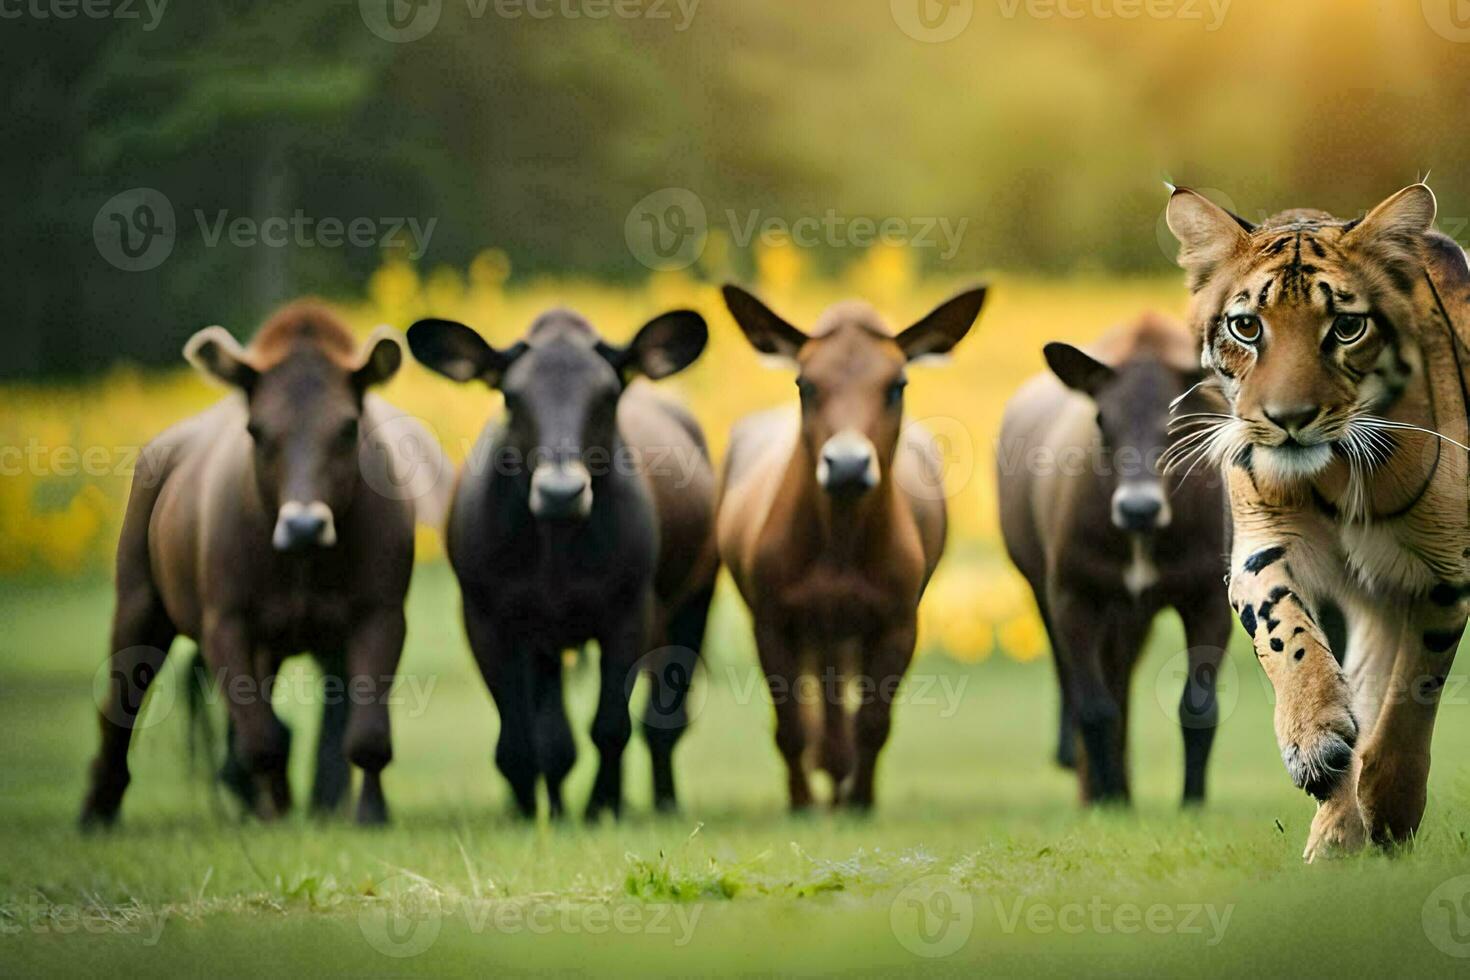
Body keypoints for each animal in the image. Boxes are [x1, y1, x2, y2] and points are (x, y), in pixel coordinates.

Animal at [79, 301, 446, 828]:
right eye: (256, 430)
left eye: (348, 428)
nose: (304, 524)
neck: (302, 563)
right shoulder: (224, 622)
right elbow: (261, 738)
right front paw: (276, 815)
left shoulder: (380, 614)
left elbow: (366, 733)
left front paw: (370, 813)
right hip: (138, 598)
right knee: (121, 701)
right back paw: (98, 810)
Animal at [714, 283, 981, 811]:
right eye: (805, 384)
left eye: (897, 385)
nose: (848, 466)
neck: (838, 544)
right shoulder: (771, 617)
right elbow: (791, 726)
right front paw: (801, 803)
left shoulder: (899, 619)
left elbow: (874, 722)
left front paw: (860, 801)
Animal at [993, 314, 1234, 805]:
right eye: (1103, 418)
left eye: (1179, 420)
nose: (1138, 507)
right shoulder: (1075, 594)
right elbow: (1094, 706)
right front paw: (1106, 800)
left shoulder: (1210, 598)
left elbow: (1198, 707)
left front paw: (1192, 802)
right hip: (1043, 586)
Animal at [1158, 182, 1470, 858]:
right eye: (1246, 327)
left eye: (1347, 327)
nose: (1289, 419)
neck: (1336, 473)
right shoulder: (1262, 543)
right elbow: (1286, 632)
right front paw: (1316, 743)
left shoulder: (1445, 571)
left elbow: (1413, 692)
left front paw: (1390, 804)